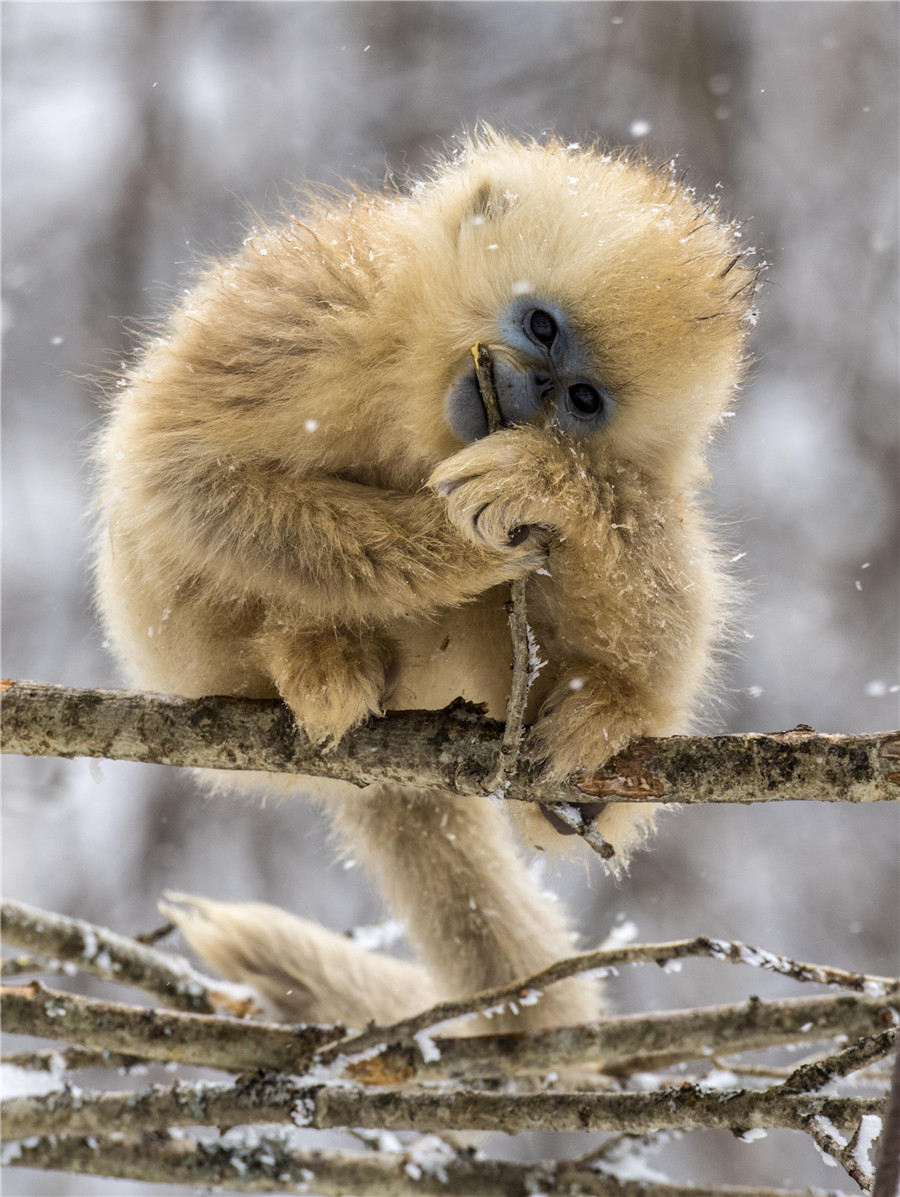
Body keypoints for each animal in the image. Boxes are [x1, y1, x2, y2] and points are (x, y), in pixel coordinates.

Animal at [94, 131, 758, 1033]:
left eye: (582, 399)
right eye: (539, 323)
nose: (532, 391)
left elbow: (628, 519)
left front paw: (540, 481)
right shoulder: (309, 310)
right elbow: (181, 473)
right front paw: (457, 545)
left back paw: (603, 725)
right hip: (180, 649)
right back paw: (313, 656)